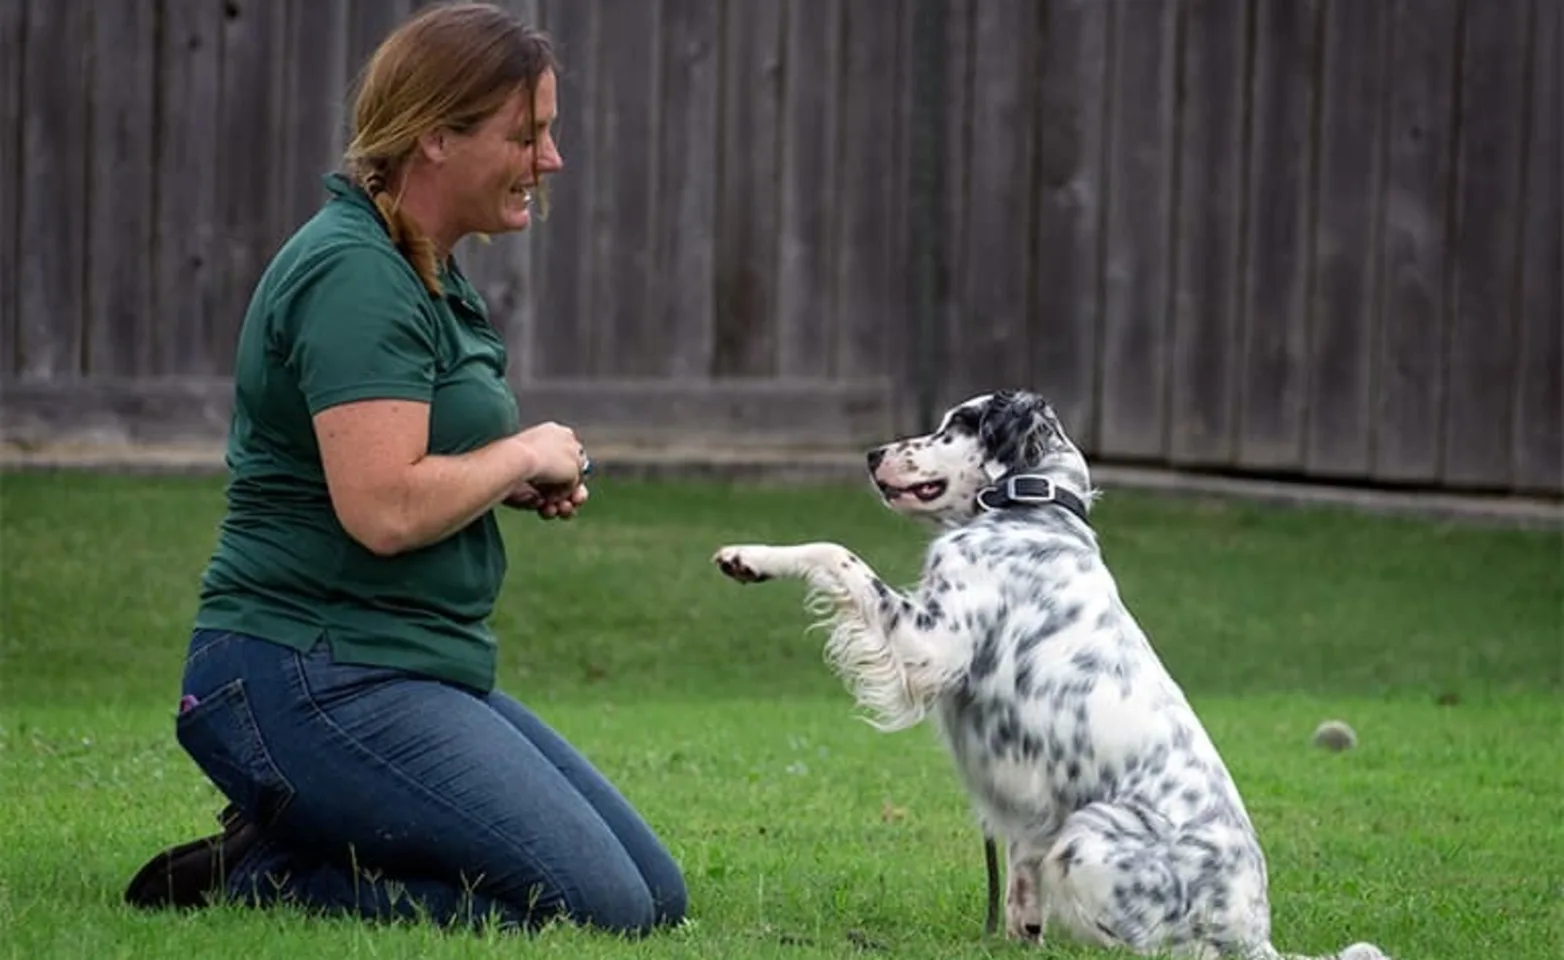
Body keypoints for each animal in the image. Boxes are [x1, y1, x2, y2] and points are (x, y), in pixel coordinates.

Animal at [716, 392, 1388, 960]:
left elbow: (834, 552)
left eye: (958, 423)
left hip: (1089, 833)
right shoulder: (1027, 806)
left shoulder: (932, 642)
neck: (1030, 512)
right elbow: (1019, 880)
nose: (872, 454)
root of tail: (1253, 931)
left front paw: (751, 556)